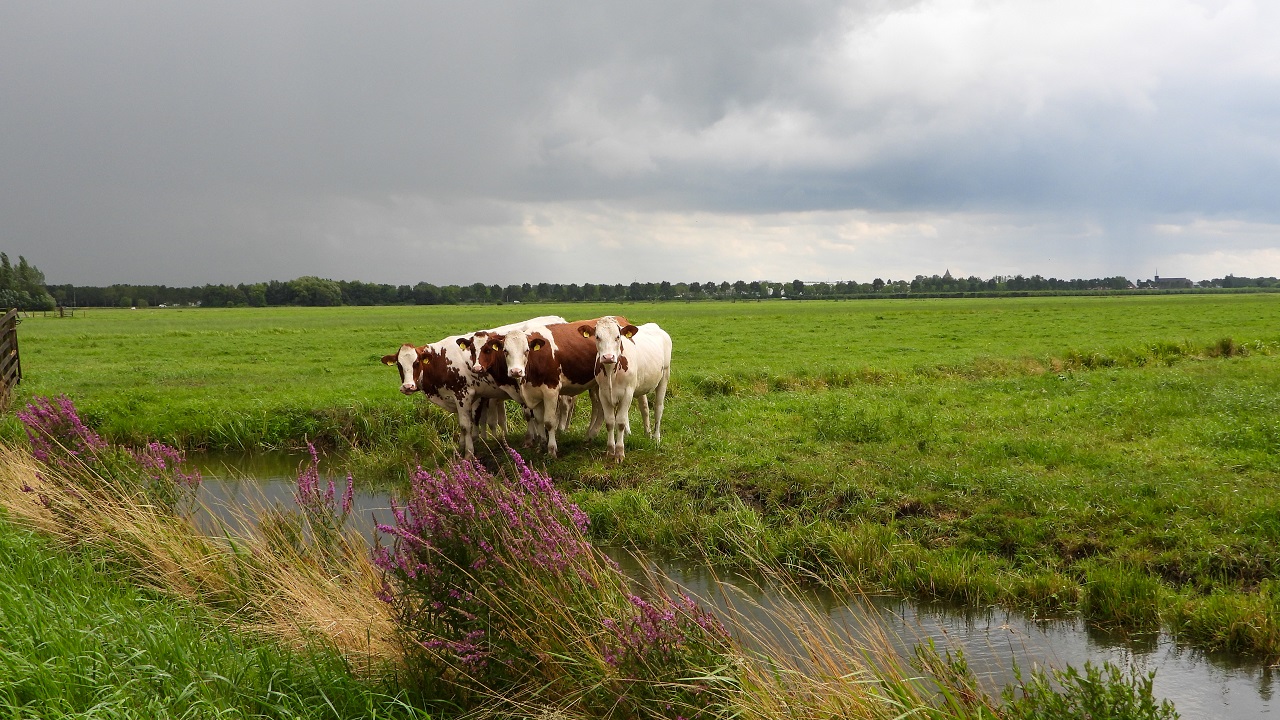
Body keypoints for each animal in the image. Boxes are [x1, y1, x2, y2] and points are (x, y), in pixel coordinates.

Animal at [587, 316, 671, 461]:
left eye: (617, 336)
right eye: (597, 337)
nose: (608, 357)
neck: (611, 372)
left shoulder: (627, 393)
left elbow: (620, 422)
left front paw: (619, 453)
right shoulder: (603, 394)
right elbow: (610, 422)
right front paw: (610, 451)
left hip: (664, 375)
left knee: (658, 408)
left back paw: (656, 438)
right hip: (641, 385)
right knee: (645, 408)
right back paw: (647, 433)